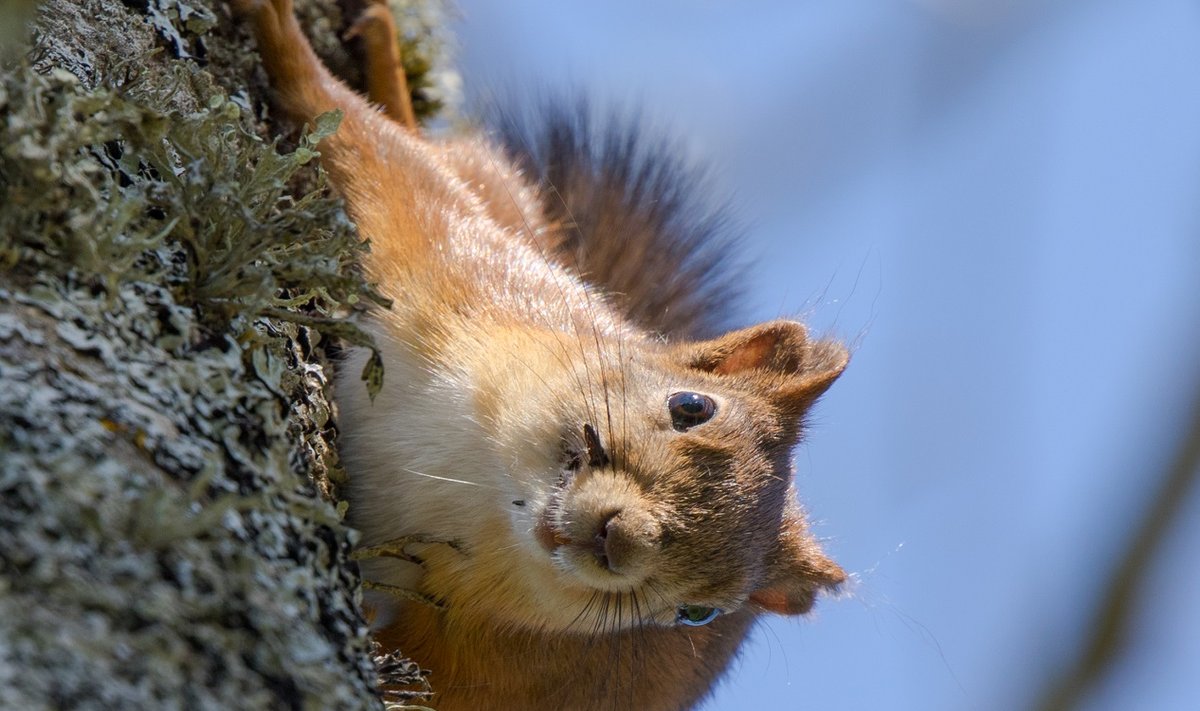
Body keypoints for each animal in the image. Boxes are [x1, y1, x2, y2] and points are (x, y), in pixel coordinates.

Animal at [234, 2, 849, 706]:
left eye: (700, 613)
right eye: (691, 406)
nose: (617, 543)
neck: (482, 480)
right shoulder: (455, 258)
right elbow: (368, 141)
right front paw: (284, 39)